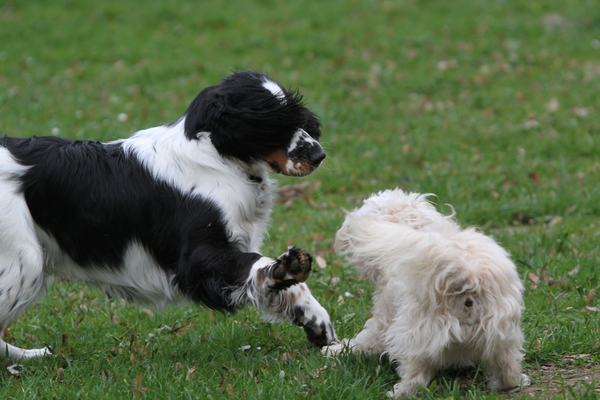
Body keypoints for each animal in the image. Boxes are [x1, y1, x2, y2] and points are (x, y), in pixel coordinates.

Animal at [0, 69, 338, 360]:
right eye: (273, 122)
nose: (319, 155)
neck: (216, 158)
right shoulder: (197, 258)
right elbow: (259, 265)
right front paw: (286, 269)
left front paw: (317, 323)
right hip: (25, 261)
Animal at [324, 190, 528, 396]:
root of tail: (466, 272)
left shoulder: (386, 313)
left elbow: (366, 339)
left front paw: (336, 350)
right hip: (503, 335)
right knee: (509, 368)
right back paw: (507, 383)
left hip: (415, 333)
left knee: (417, 376)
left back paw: (399, 392)